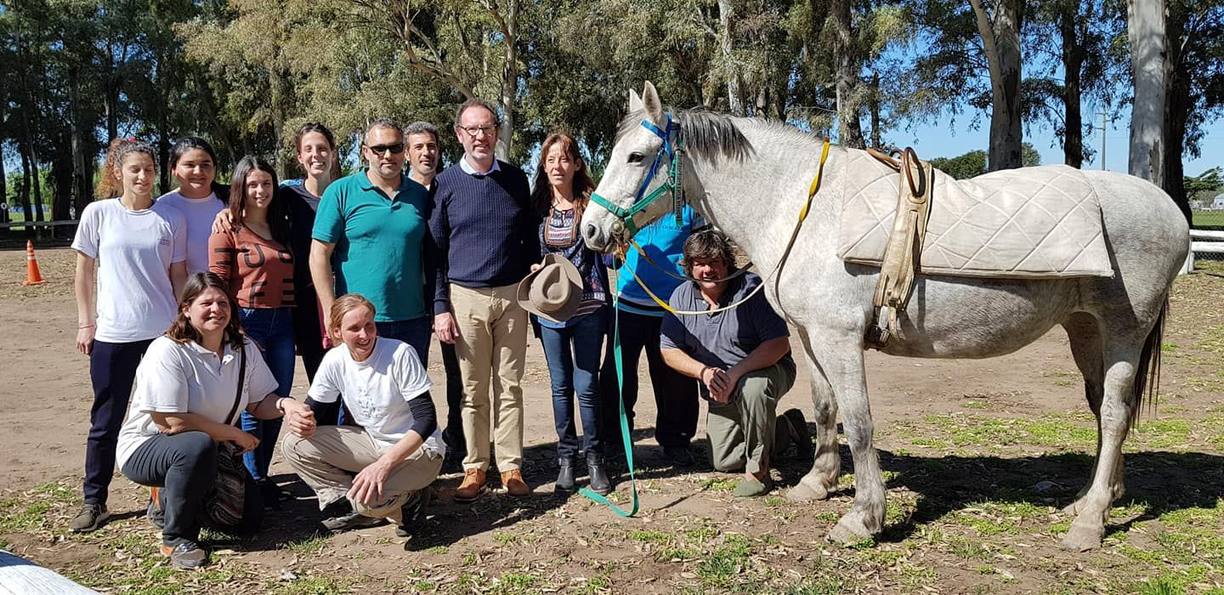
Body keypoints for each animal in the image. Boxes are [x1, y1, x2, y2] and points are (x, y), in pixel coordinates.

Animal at [577, 81, 1189, 550]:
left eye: (636, 156)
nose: (590, 230)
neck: (802, 206)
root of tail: (1172, 212)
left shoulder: (840, 338)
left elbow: (861, 420)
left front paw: (863, 518)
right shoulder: (811, 336)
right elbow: (826, 408)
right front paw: (817, 483)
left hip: (1125, 331)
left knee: (1114, 414)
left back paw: (1090, 524)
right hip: (1087, 330)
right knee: (1103, 408)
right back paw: (1092, 501)